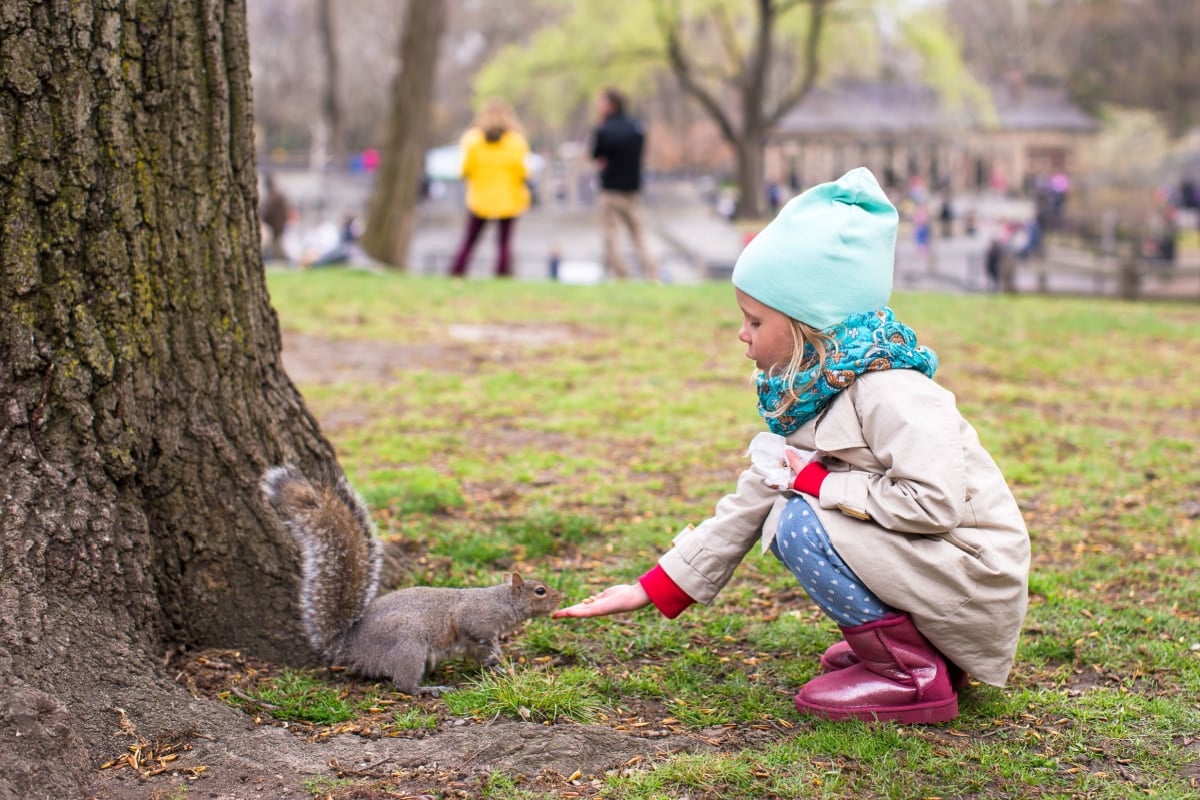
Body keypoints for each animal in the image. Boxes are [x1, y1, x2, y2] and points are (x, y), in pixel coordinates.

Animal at [260, 465, 559, 695]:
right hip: (408, 645)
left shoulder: (473, 643)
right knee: (402, 684)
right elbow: (478, 633)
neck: (502, 600)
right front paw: (499, 655)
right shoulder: (477, 618)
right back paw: (428, 688)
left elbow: (482, 655)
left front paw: (501, 666)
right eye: (540, 591)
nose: (561, 597)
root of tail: (350, 647)